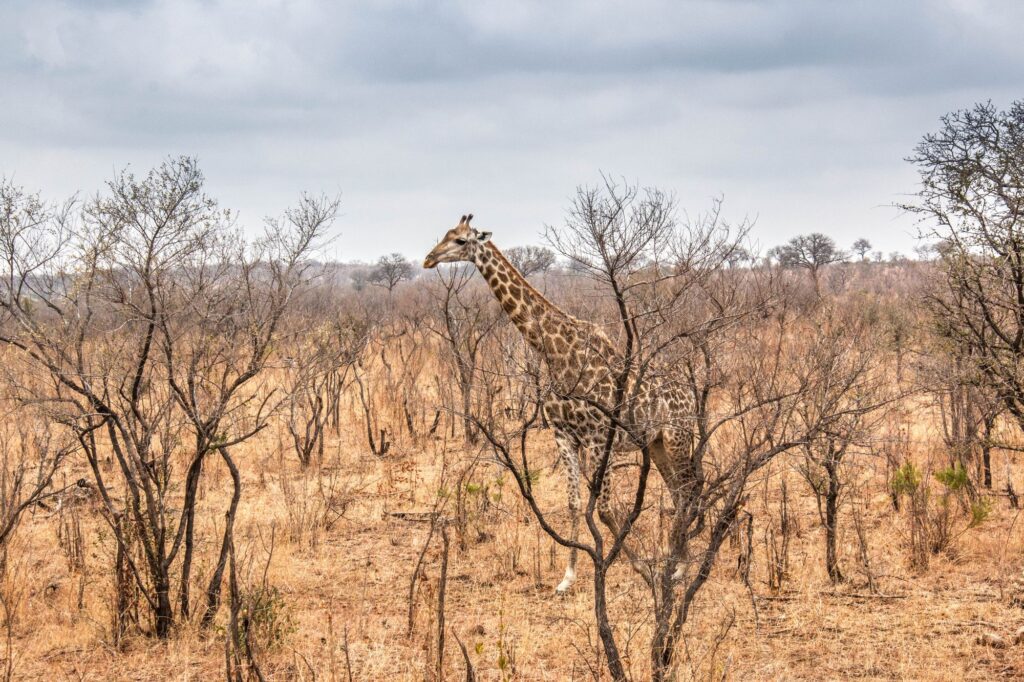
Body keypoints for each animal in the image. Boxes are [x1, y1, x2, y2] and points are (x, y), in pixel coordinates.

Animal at [424, 214, 696, 593]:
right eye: (446, 235)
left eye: (461, 241)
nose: (429, 259)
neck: (554, 353)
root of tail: (689, 392)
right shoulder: (564, 435)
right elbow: (573, 504)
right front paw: (567, 577)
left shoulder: (599, 439)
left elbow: (605, 509)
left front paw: (643, 570)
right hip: (655, 443)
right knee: (676, 492)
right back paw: (677, 563)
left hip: (677, 437)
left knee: (686, 491)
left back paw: (680, 567)